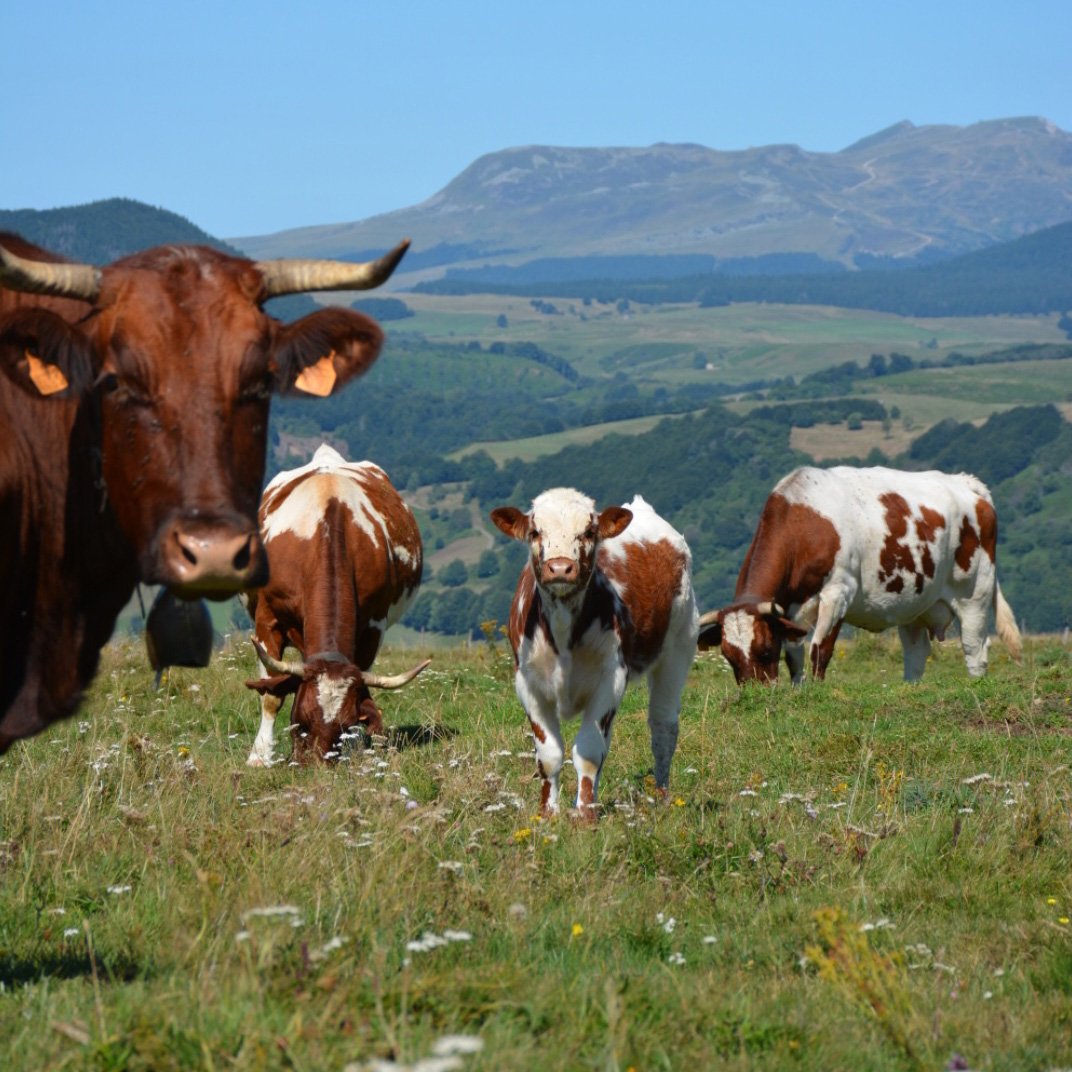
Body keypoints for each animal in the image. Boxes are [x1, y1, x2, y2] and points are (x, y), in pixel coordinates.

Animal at [243, 444, 428, 764]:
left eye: (346, 723)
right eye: (301, 722)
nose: (316, 765)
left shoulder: (373, 624)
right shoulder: (268, 618)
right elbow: (272, 695)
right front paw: (260, 756)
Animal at [491, 488, 698, 817]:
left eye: (588, 532)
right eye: (535, 532)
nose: (560, 568)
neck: (563, 630)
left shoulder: (610, 680)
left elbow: (588, 750)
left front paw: (585, 815)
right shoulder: (527, 683)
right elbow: (550, 754)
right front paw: (548, 813)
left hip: (679, 649)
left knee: (663, 727)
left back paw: (663, 797)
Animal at [697, 466, 1023, 684]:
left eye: (765, 650)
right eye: (728, 656)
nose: (756, 695)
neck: (805, 524)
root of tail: (967, 483)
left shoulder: (838, 593)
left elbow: (820, 650)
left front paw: (815, 690)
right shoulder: (791, 608)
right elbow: (794, 653)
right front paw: (797, 689)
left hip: (975, 592)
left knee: (974, 646)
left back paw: (975, 684)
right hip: (916, 602)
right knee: (917, 652)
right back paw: (910, 687)